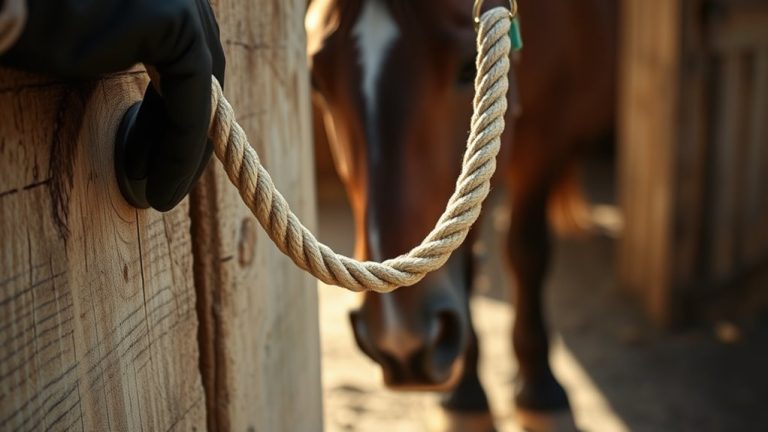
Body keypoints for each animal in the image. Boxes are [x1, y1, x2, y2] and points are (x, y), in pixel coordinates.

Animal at [307, 0, 617, 428]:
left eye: (470, 67)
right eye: (317, 82)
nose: (399, 340)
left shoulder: (546, 131)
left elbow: (527, 250)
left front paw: (541, 388)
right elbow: (465, 261)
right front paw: (466, 396)